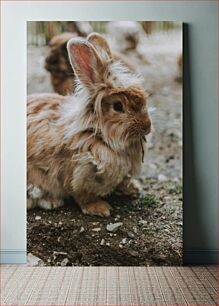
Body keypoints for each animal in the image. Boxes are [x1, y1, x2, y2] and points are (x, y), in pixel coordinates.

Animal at [27, 33, 151, 218]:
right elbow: (83, 195)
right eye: (118, 106)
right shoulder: (75, 174)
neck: (97, 134)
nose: (147, 127)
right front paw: (100, 208)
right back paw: (51, 201)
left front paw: (132, 189)